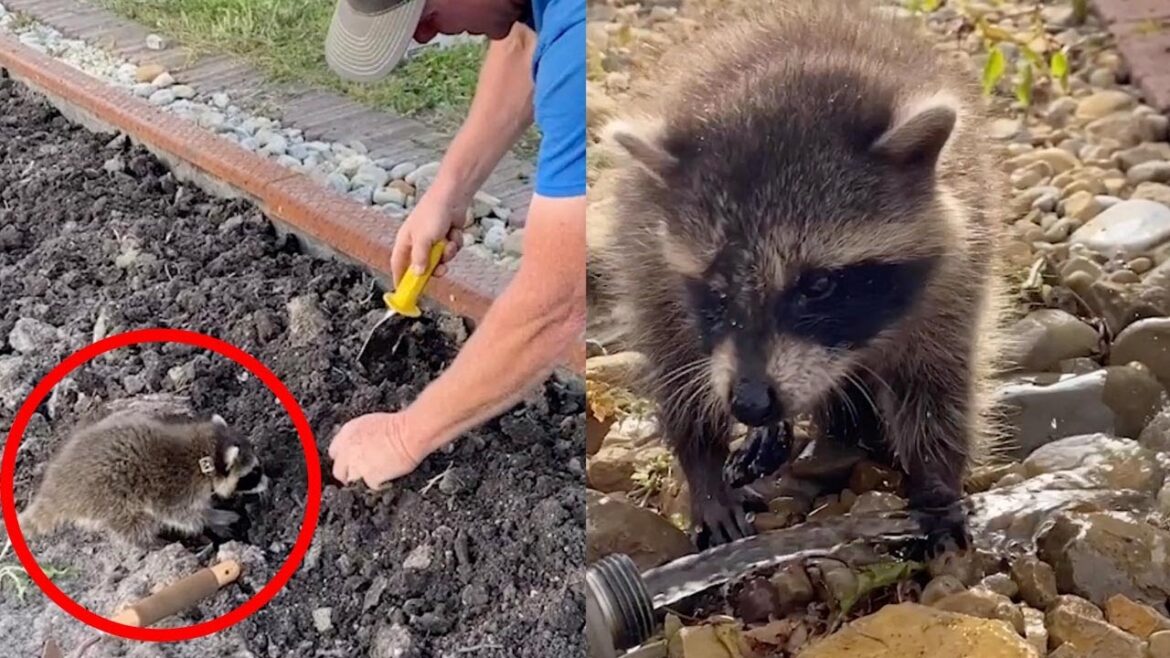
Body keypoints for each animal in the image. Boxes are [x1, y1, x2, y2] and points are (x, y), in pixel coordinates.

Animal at [18, 411, 268, 547]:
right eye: (253, 473)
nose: (269, 483)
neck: (201, 452)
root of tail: (55, 489)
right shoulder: (175, 491)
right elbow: (183, 517)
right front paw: (214, 516)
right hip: (110, 499)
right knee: (136, 525)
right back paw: (150, 544)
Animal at [590, 0, 1007, 548]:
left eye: (818, 286)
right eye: (717, 292)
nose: (749, 404)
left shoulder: (955, 277)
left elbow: (940, 382)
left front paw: (937, 478)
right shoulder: (651, 266)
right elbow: (678, 373)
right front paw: (703, 468)